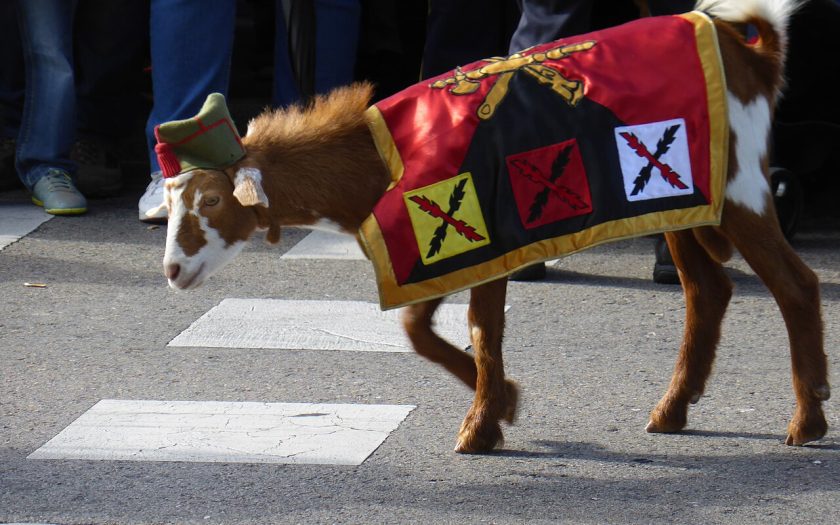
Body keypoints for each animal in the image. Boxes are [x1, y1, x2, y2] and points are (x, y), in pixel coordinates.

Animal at [157, 0, 829, 453]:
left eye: (211, 200)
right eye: (172, 200)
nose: (171, 270)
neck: (379, 158)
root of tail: (749, 53)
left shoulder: (486, 237)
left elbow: (481, 329)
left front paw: (482, 423)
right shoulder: (446, 249)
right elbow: (421, 329)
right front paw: (502, 403)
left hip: (738, 188)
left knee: (795, 284)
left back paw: (808, 420)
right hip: (681, 200)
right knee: (708, 291)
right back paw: (672, 410)